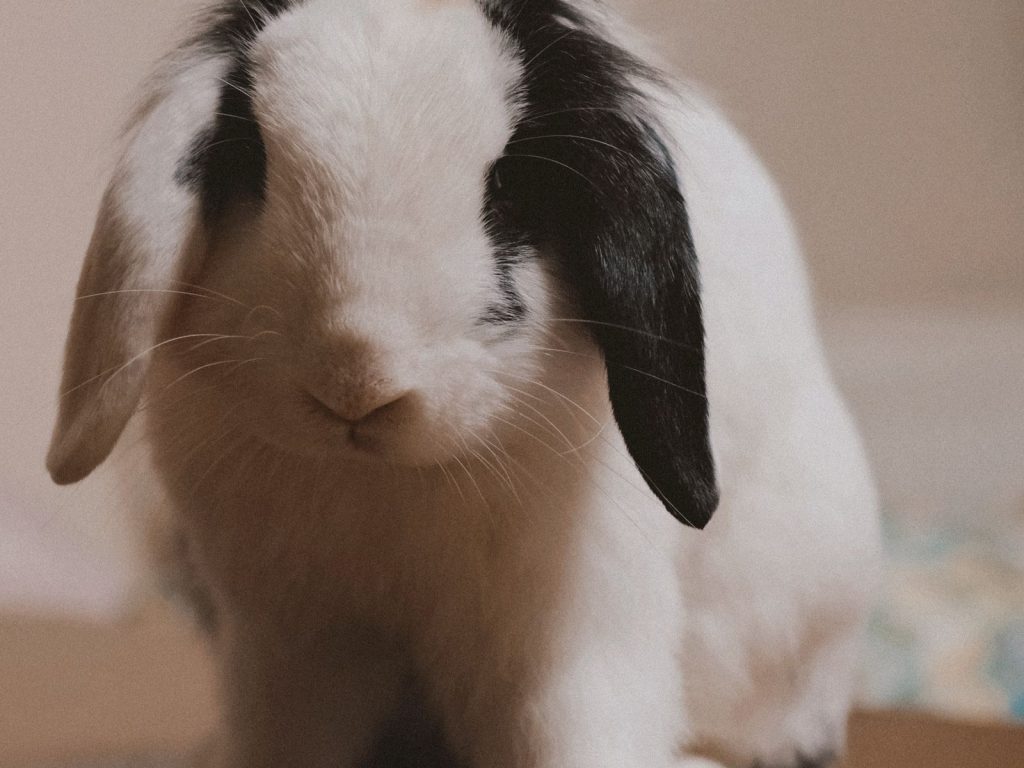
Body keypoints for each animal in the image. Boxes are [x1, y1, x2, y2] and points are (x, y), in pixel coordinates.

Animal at [46, 1, 882, 767]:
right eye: (251, 161)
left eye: (508, 185)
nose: (355, 384)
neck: (383, 481)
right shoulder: (293, 647)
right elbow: (290, 733)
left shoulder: (572, 639)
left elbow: (575, 729)